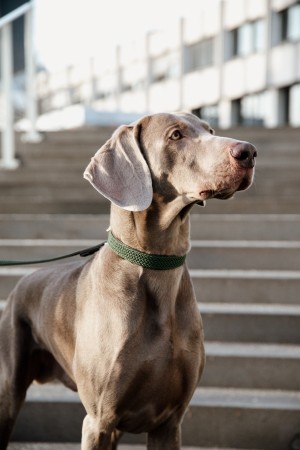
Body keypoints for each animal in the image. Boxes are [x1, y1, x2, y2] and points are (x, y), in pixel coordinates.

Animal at [0, 110, 255, 448]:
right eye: (176, 135)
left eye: (210, 130)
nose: (249, 152)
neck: (157, 265)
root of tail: (23, 280)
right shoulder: (98, 421)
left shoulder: (169, 423)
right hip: (9, 388)